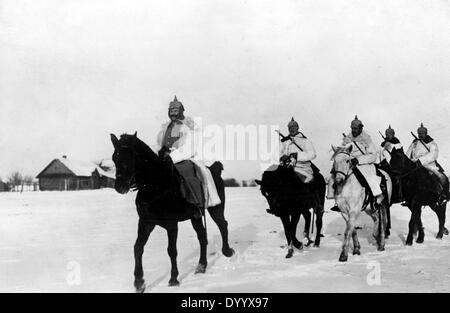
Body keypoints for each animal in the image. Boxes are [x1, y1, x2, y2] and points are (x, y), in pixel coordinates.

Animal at [110, 131, 234, 290]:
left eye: (131, 156)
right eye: (115, 157)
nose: (120, 186)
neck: (155, 185)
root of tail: (214, 170)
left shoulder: (171, 225)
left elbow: (171, 250)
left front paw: (173, 279)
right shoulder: (145, 223)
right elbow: (137, 248)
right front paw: (139, 282)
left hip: (215, 209)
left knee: (223, 225)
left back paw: (227, 251)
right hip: (196, 217)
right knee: (202, 237)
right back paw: (201, 266)